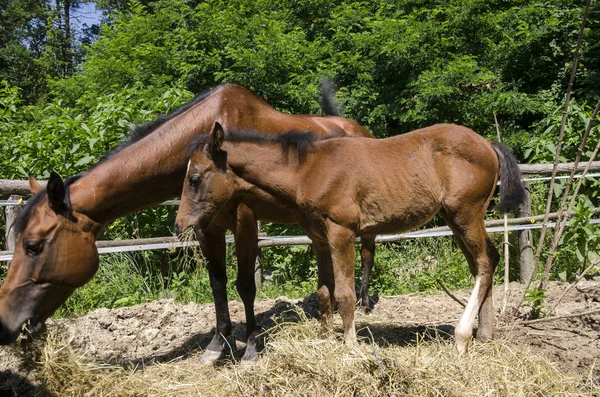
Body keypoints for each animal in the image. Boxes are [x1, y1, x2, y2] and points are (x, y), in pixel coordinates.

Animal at [0, 83, 376, 362]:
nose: (6, 323)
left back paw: (364, 301)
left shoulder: (245, 219)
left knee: (368, 252)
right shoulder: (207, 227)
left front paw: (251, 348)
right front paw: (218, 345)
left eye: (34, 245)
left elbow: (245, 285)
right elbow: (217, 285)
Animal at [175, 121, 524, 352]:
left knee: (484, 262)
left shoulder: (341, 231)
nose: (180, 225)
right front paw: (325, 339)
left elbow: (344, 294)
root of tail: (488, 144)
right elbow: (324, 293)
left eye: (195, 178)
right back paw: (484, 334)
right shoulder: (318, 237)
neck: (309, 170)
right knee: (484, 262)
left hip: (465, 213)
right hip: (455, 218)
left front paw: (351, 346)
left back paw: (462, 338)